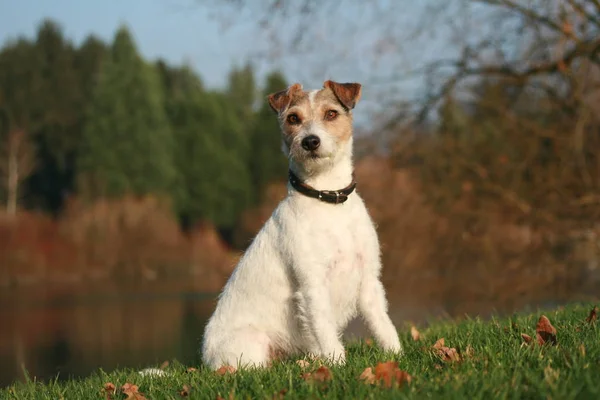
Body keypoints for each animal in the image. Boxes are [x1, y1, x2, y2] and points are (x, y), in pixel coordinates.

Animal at [202, 79, 404, 370]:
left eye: (331, 113)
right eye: (293, 118)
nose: (310, 142)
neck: (328, 198)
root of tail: (206, 358)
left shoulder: (368, 280)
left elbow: (383, 325)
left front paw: (396, 355)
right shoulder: (313, 285)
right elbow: (326, 332)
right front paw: (337, 366)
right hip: (251, 346)